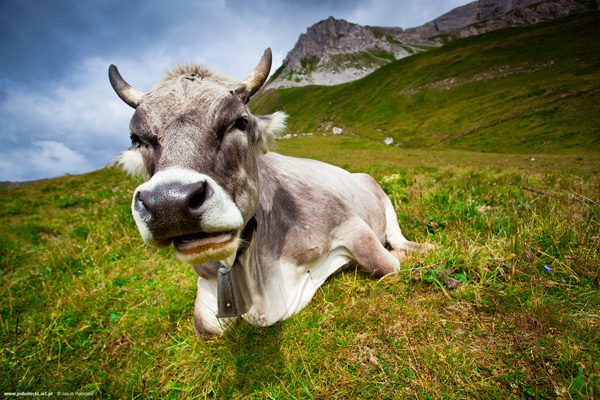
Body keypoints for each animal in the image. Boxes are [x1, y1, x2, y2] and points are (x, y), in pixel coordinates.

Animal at [109, 48, 432, 336]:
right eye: (136, 139)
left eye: (240, 122)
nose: (169, 203)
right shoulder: (207, 279)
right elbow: (205, 328)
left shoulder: (349, 223)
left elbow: (385, 265)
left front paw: (401, 258)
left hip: (378, 190)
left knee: (396, 236)